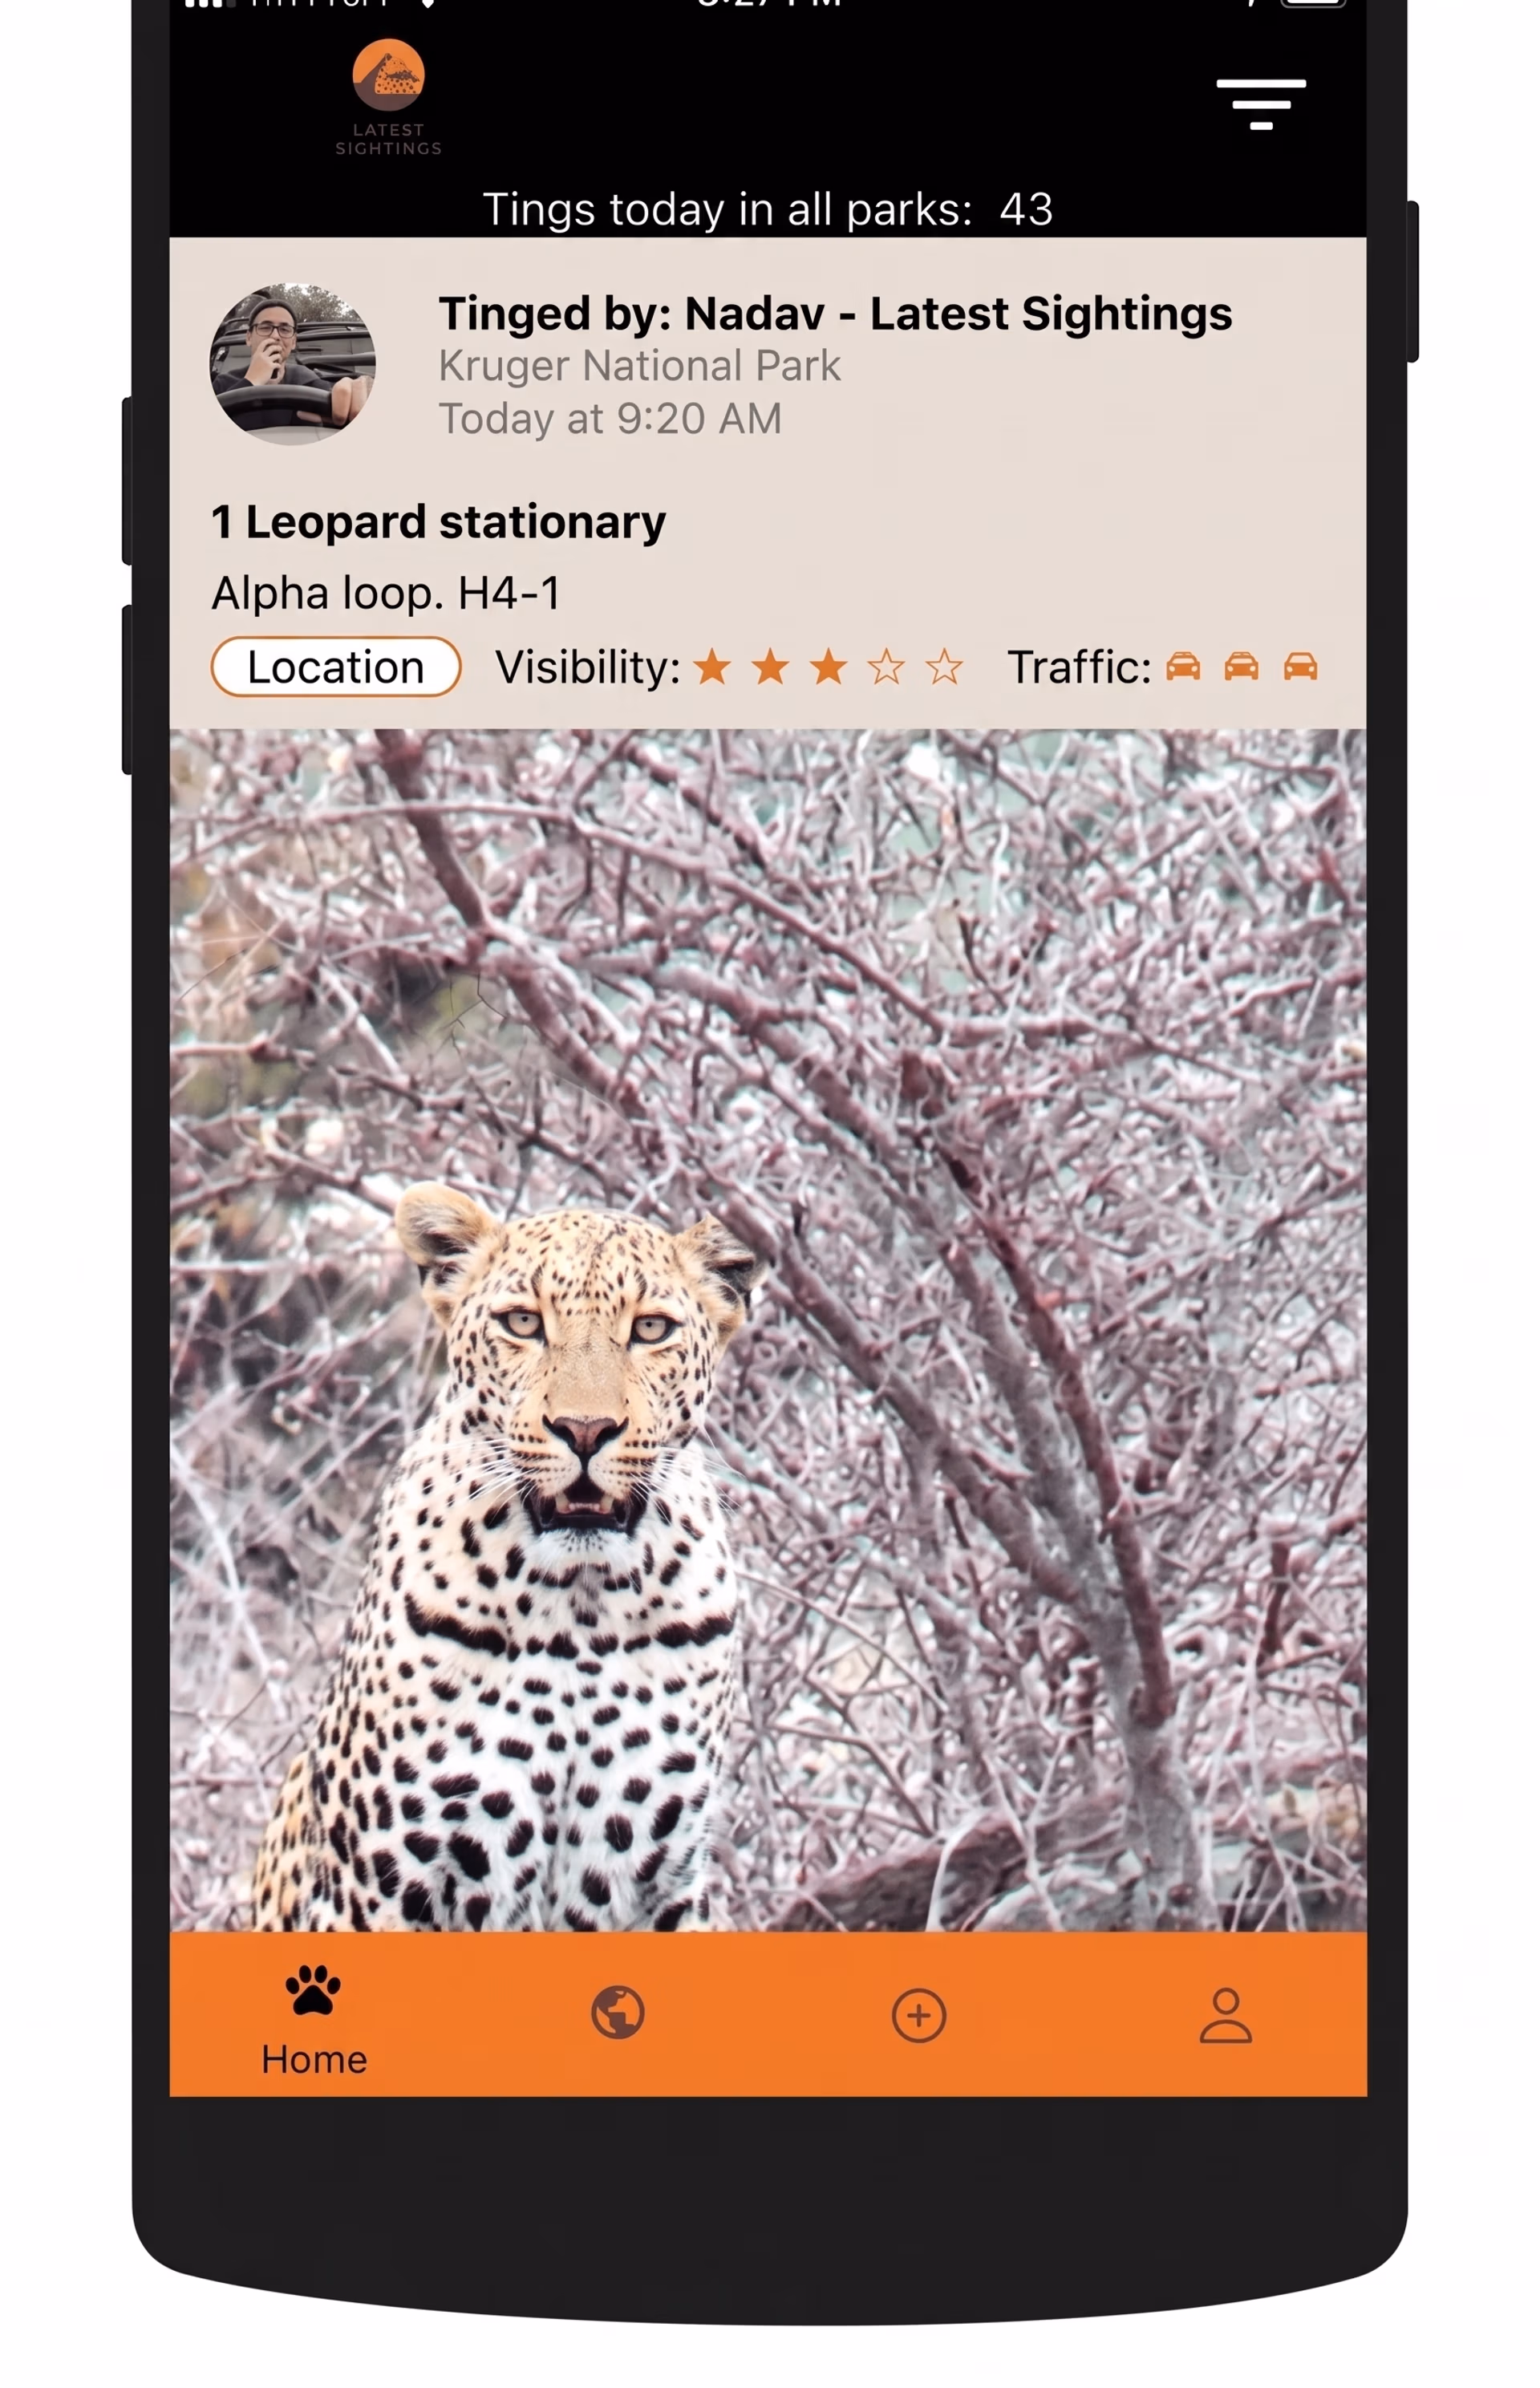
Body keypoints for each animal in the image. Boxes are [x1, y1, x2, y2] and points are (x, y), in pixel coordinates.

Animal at [253, 1184, 767, 1934]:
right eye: (523, 1322)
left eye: (650, 1329)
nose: (585, 1429)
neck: (582, 1609)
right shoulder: (380, 1886)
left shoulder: (663, 1880)